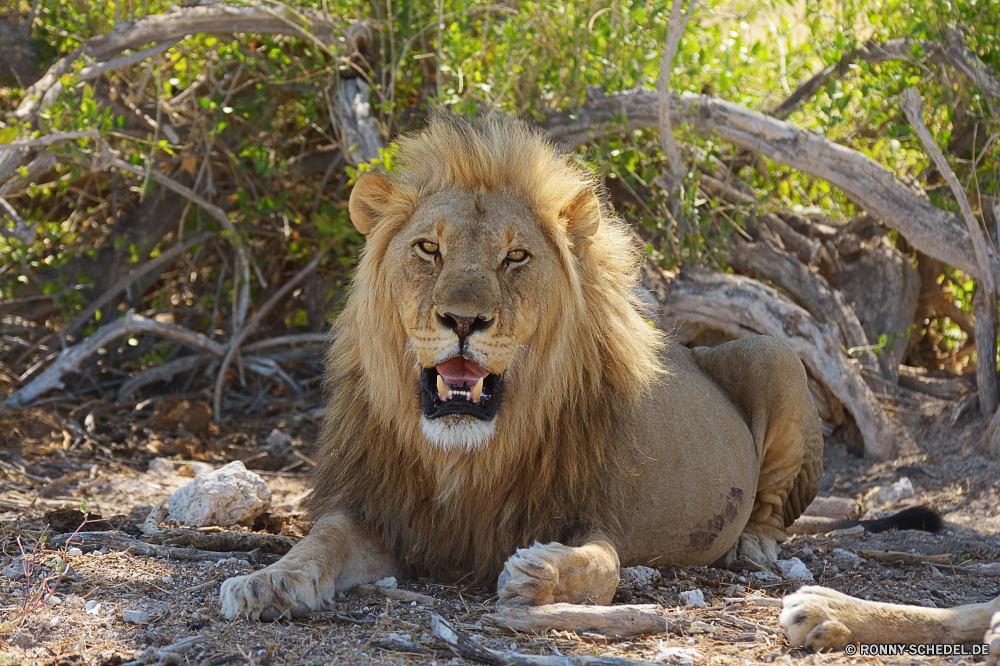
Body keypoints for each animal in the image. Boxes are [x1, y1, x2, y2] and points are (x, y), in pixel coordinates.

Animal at [219, 113, 820, 616]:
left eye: (515, 257)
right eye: (429, 248)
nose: (463, 320)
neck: (463, 457)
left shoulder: (596, 514)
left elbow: (603, 566)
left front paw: (537, 572)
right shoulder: (387, 515)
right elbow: (322, 538)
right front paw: (268, 581)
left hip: (776, 354)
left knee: (771, 505)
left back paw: (753, 546)